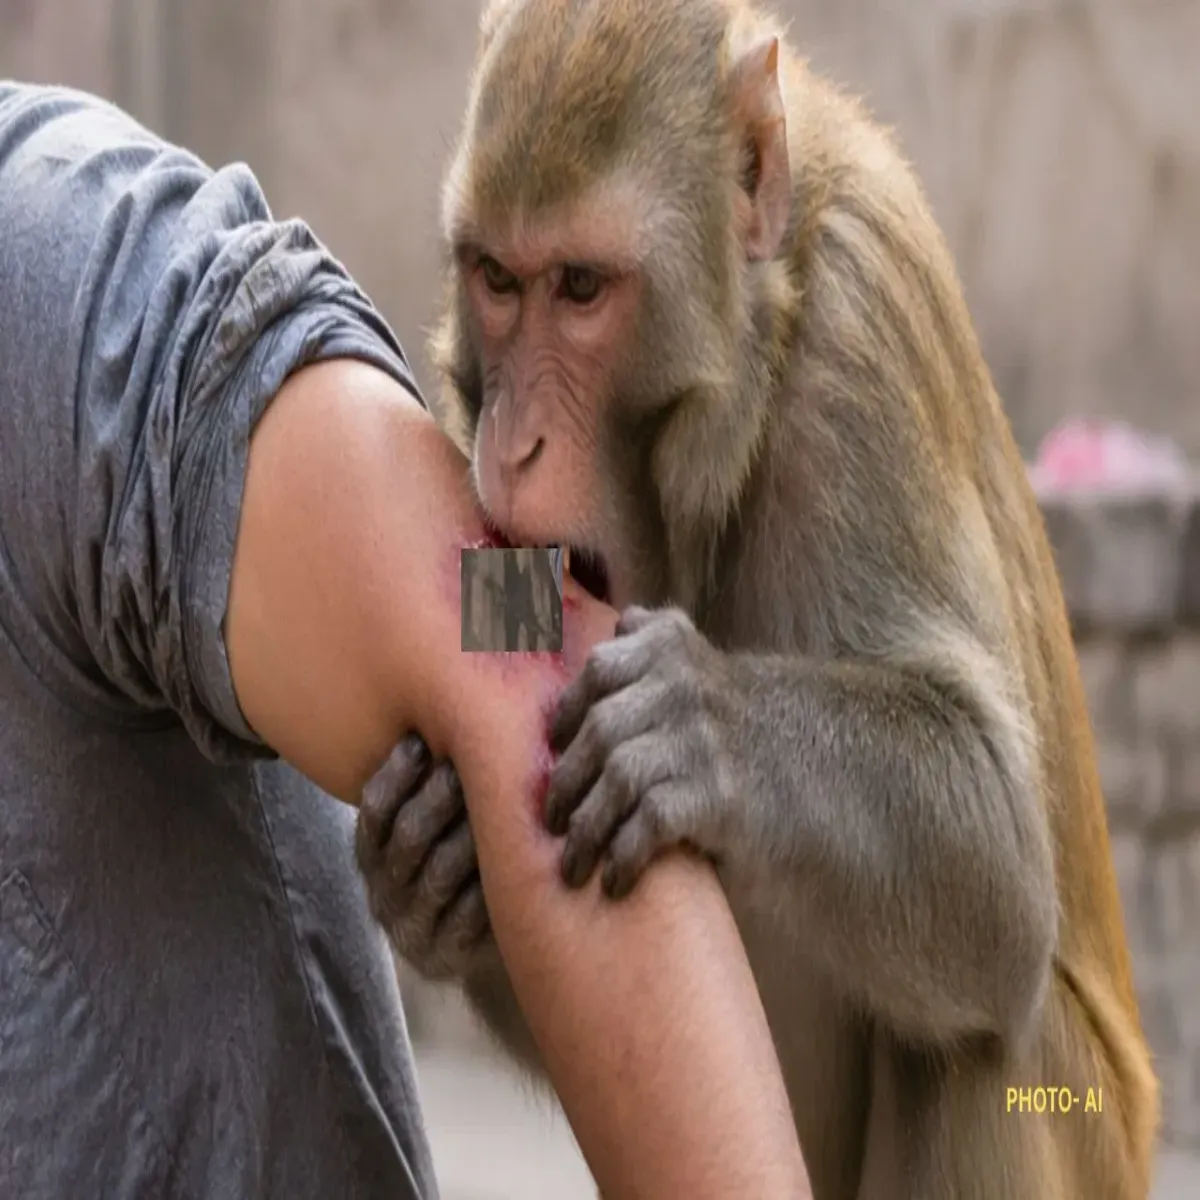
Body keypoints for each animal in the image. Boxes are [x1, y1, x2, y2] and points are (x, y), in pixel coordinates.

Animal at [354, 0, 1160, 1195]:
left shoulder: (859, 341)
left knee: (981, 1057)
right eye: (496, 277)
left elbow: (1002, 863)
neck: (764, 341)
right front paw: (426, 859)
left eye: (581, 288)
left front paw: (703, 726)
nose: (511, 441)